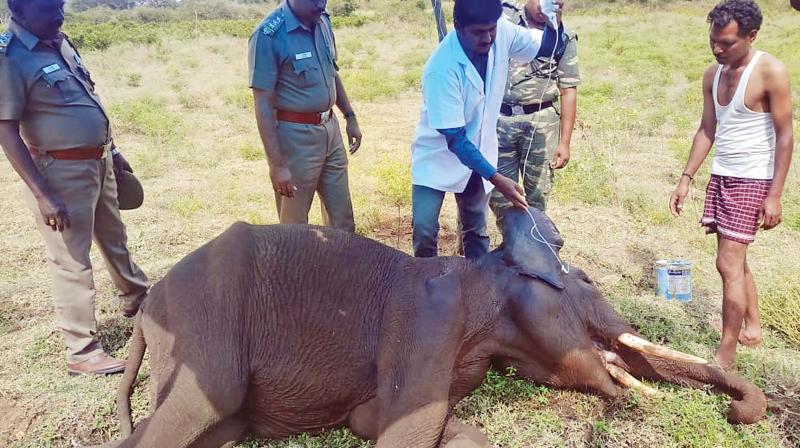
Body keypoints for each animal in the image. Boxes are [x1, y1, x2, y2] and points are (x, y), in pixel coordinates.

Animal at [97, 208, 764, 446]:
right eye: (588, 281)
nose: (737, 411)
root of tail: (147, 307)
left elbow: (384, 422)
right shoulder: (427, 323)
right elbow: (403, 430)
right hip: (206, 323)